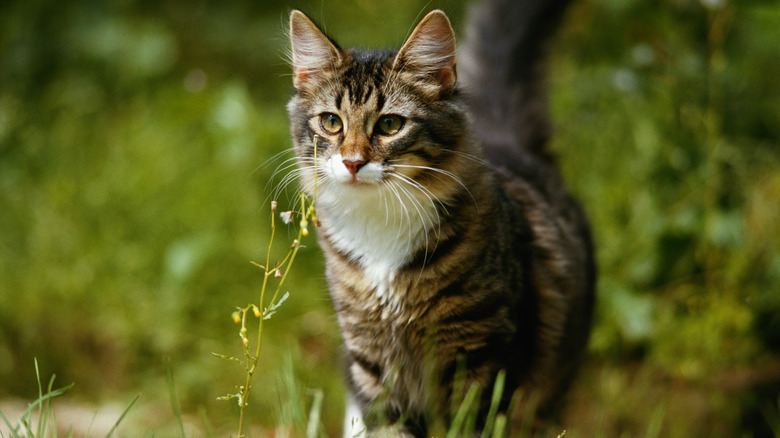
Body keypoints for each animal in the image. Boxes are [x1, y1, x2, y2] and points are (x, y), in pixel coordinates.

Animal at [286, 0, 596, 434]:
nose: (352, 162)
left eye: (390, 124)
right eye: (331, 122)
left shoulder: (484, 358)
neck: (380, 227)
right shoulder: (373, 362)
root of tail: (505, 139)